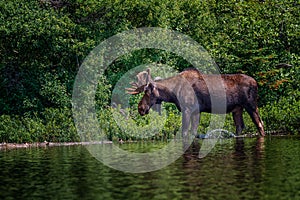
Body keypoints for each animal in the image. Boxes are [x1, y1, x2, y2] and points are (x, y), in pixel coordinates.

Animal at [126, 68, 264, 137]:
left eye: (147, 92)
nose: (140, 108)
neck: (173, 93)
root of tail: (256, 83)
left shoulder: (187, 109)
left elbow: (184, 132)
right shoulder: (196, 111)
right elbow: (193, 132)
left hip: (251, 105)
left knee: (260, 125)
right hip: (237, 109)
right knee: (240, 127)